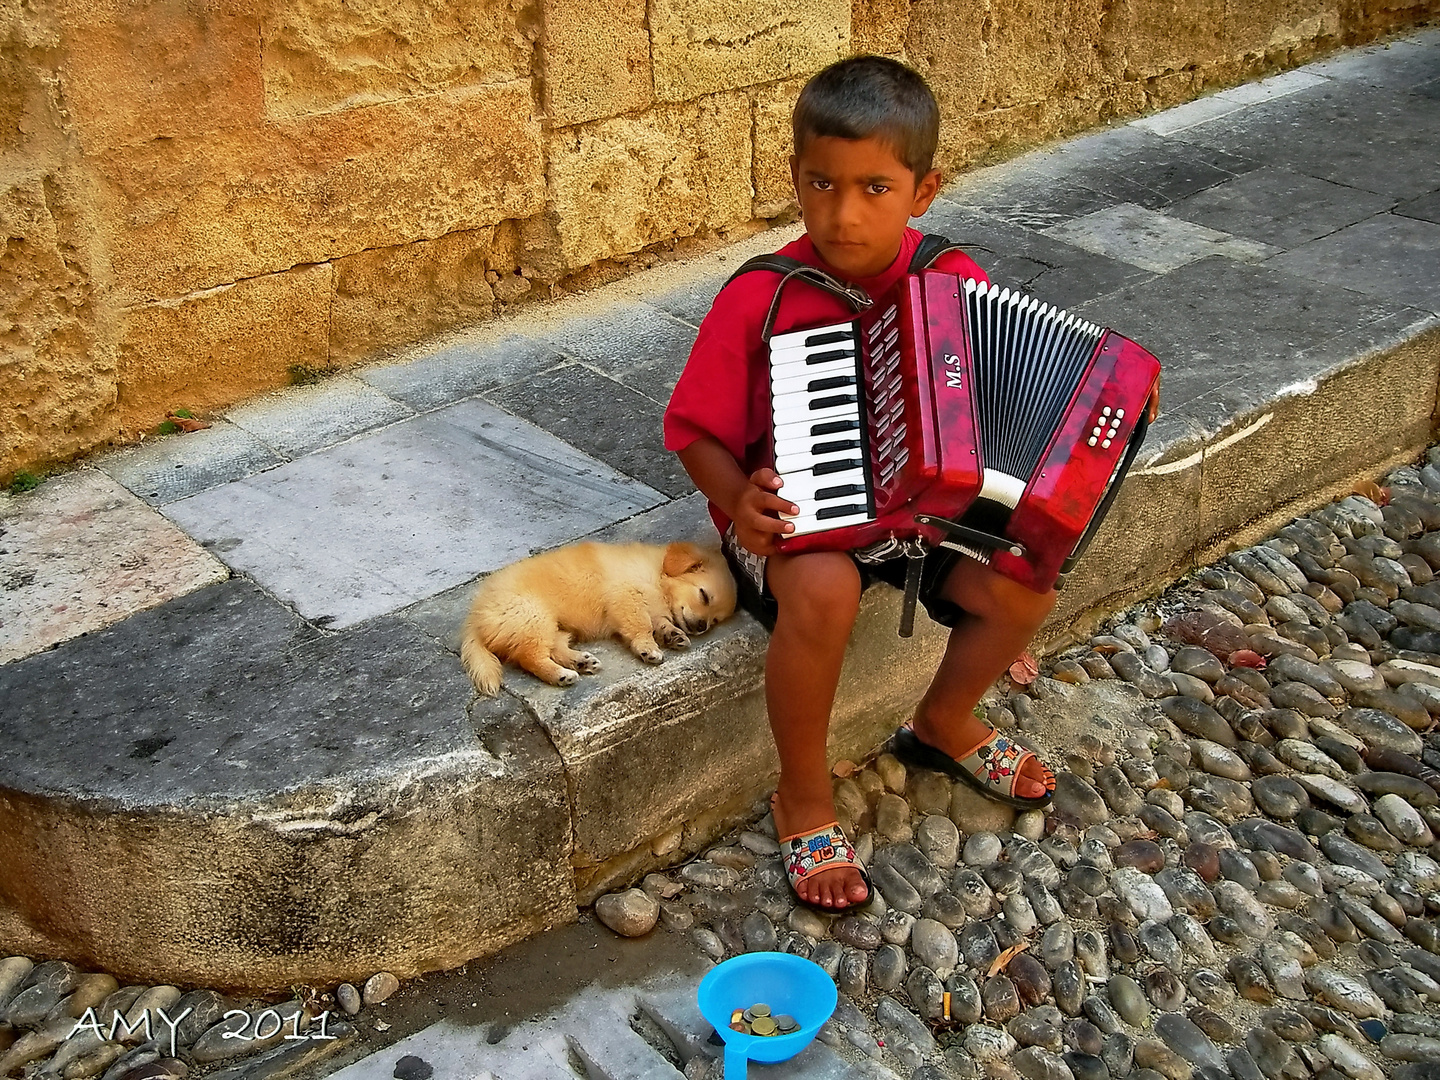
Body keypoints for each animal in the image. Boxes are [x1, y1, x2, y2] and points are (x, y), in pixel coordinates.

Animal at [460, 538, 737, 696]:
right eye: (704, 595)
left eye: (715, 621)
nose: (701, 626)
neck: (657, 575)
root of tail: (475, 618)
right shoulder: (626, 598)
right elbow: (641, 626)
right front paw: (648, 648)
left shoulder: (654, 607)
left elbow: (661, 623)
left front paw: (672, 635)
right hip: (532, 616)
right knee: (531, 657)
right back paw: (560, 675)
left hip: (551, 627)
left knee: (555, 648)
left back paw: (581, 662)